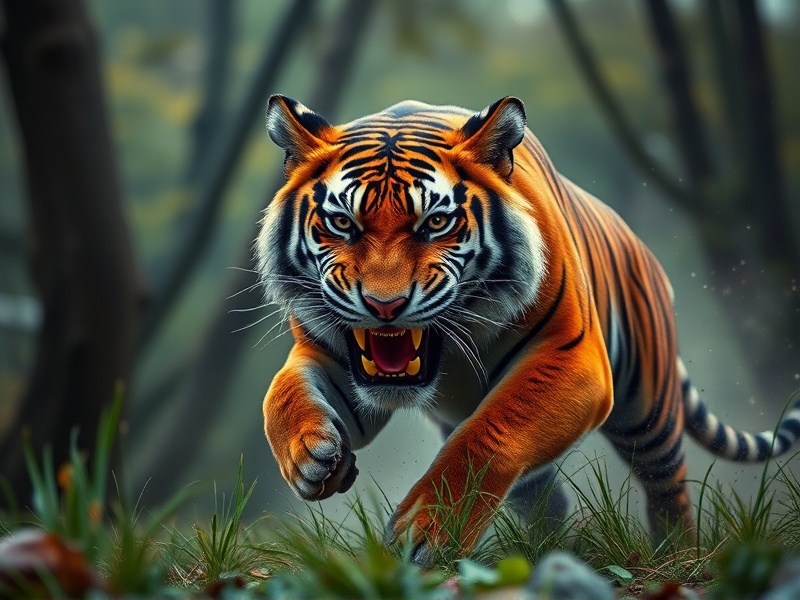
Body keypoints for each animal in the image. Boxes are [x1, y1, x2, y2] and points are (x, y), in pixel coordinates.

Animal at [255, 94, 800, 565]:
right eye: (342, 223)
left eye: (435, 223)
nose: (383, 306)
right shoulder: (330, 354)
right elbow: (280, 392)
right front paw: (309, 457)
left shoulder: (573, 358)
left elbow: (490, 435)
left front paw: (427, 531)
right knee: (543, 497)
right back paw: (550, 548)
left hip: (649, 412)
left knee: (667, 486)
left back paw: (677, 554)